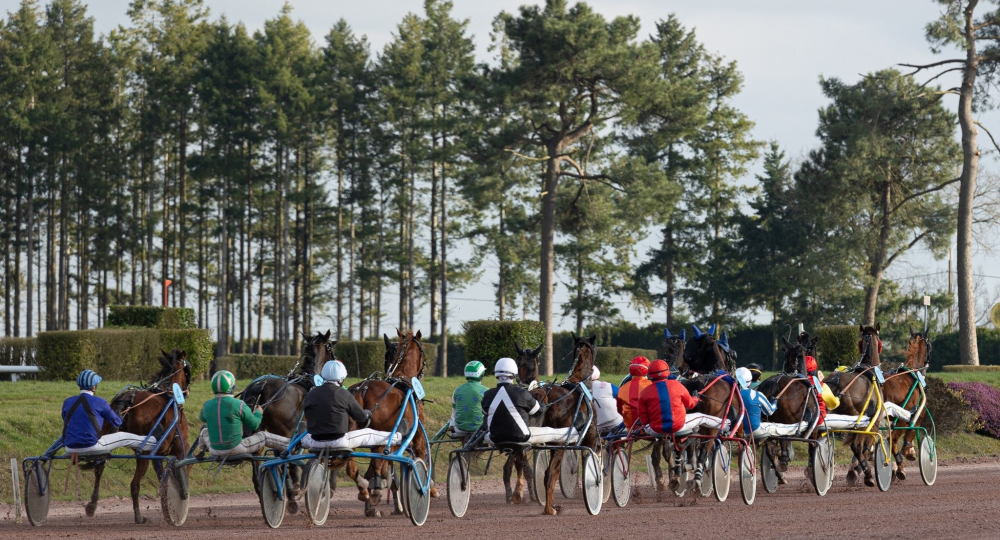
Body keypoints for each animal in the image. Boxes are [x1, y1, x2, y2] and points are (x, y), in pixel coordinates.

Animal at [103, 350, 191, 524]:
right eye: (187, 370)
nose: (187, 390)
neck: (168, 394)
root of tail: (128, 398)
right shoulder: (180, 450)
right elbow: (183, 472)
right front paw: (182, 498)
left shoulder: (158, 455)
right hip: (143, 452)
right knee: (135, 483)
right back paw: (139, 516)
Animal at [346, 326, 436, 516]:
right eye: (423, 352)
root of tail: (362, 389)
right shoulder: (417, 437)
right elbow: (421, 460)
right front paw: (429, 489)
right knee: (378, 462)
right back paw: (376, 492)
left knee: (353, 464)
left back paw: (365, 490)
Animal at [532, 334, 600, 516]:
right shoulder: (590, 439)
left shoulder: (553, 444)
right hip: (560, 444)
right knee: (550, 474)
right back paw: (549, 509)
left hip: (554, 443)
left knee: (549, 474)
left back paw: (551, 507)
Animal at [820, 324, 884, 490]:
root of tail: (835, 381)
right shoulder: (874, 422)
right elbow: (866, 447)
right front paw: (858, 471)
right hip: (857, 419)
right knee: (856, 446)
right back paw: (868, 475)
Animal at [888, 330, 932, 480]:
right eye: (930, 346)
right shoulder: (917, 412)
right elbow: (913, 429)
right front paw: (909, 451)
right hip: (900, 416)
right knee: (893, 439)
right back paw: (900, 467)